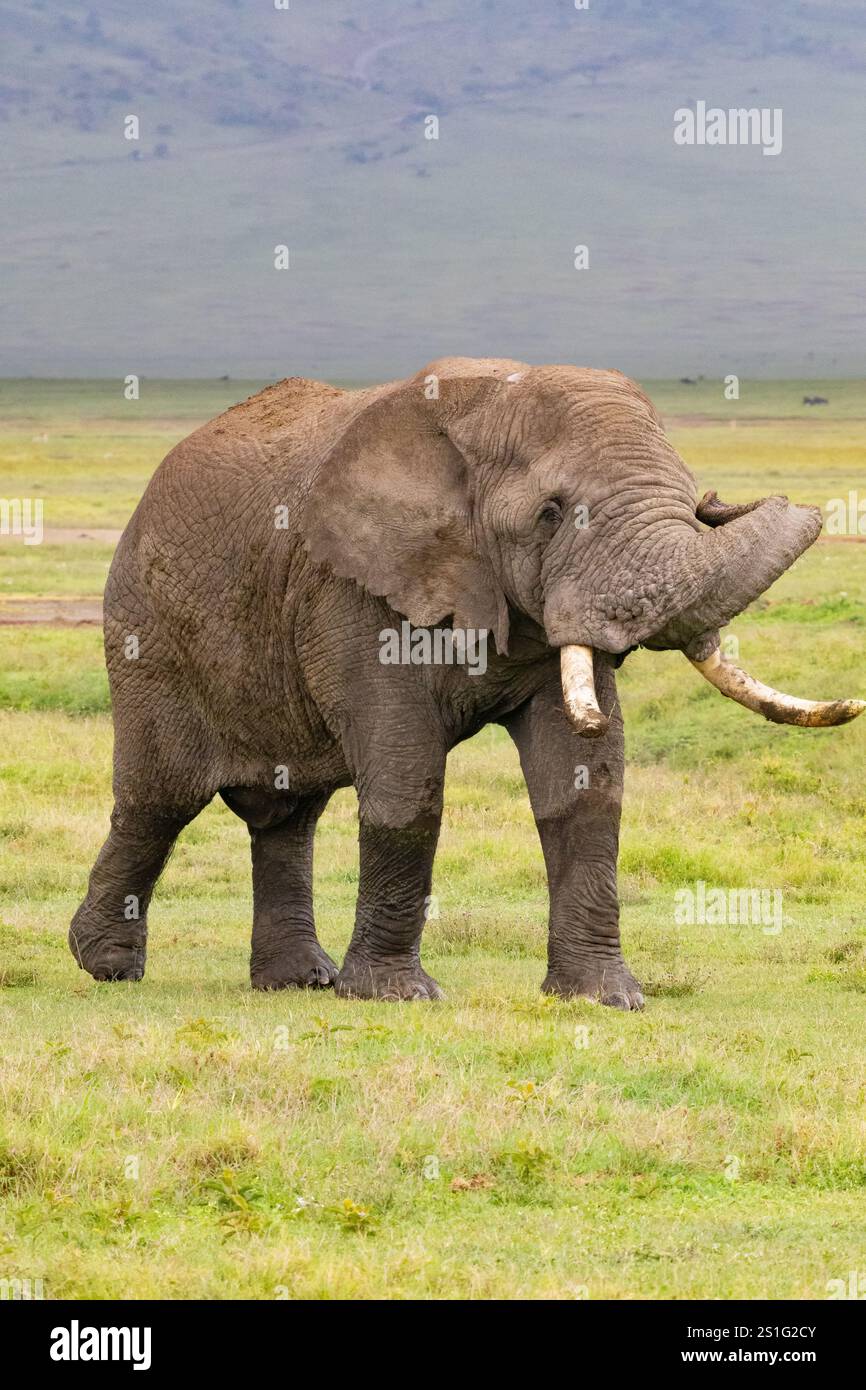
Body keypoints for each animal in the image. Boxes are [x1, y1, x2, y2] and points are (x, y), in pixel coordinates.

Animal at [69, 357, 865, 1007]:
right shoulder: (353, 587)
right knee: (160, 800)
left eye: (691, 499)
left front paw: (603, 1000)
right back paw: (104, 966)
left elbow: (585, 786)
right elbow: (406, 782)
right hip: (147, 631)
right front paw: (396, 998)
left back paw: (298, 982)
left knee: (289, 813)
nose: (722, 500)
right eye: (550, 513)